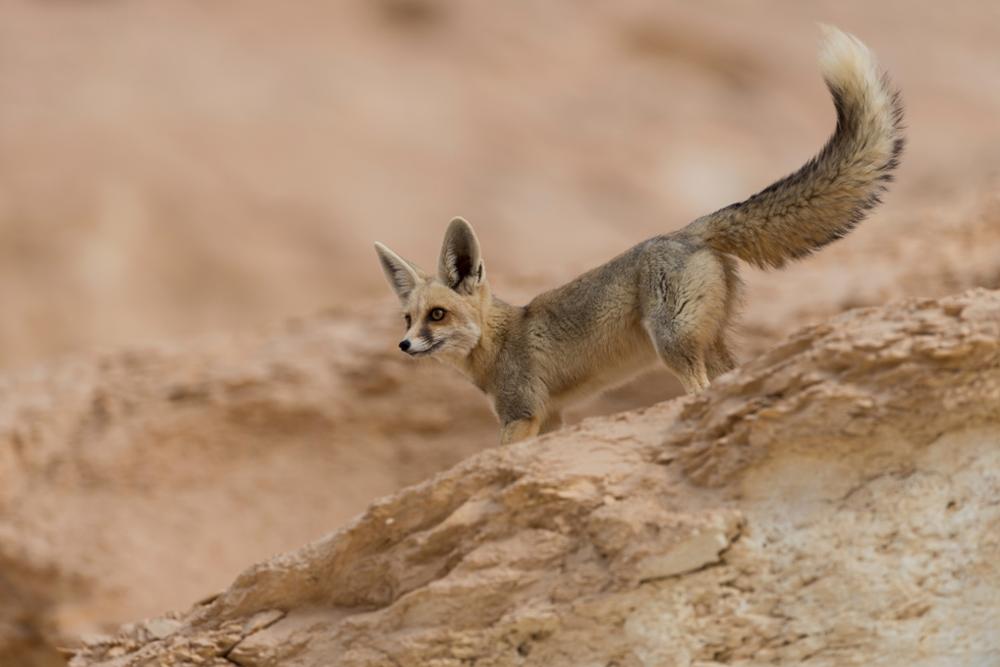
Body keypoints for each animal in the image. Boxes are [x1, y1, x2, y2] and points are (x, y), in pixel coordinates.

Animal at [372, 24, 904, 444]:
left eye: (437, 315)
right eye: (407, 319)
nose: (404, 346)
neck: (499, 341)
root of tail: (688, 230)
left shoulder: (521, 414)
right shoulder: (552, 415)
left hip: (673, 343)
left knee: (700, 391)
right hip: (711, 345)